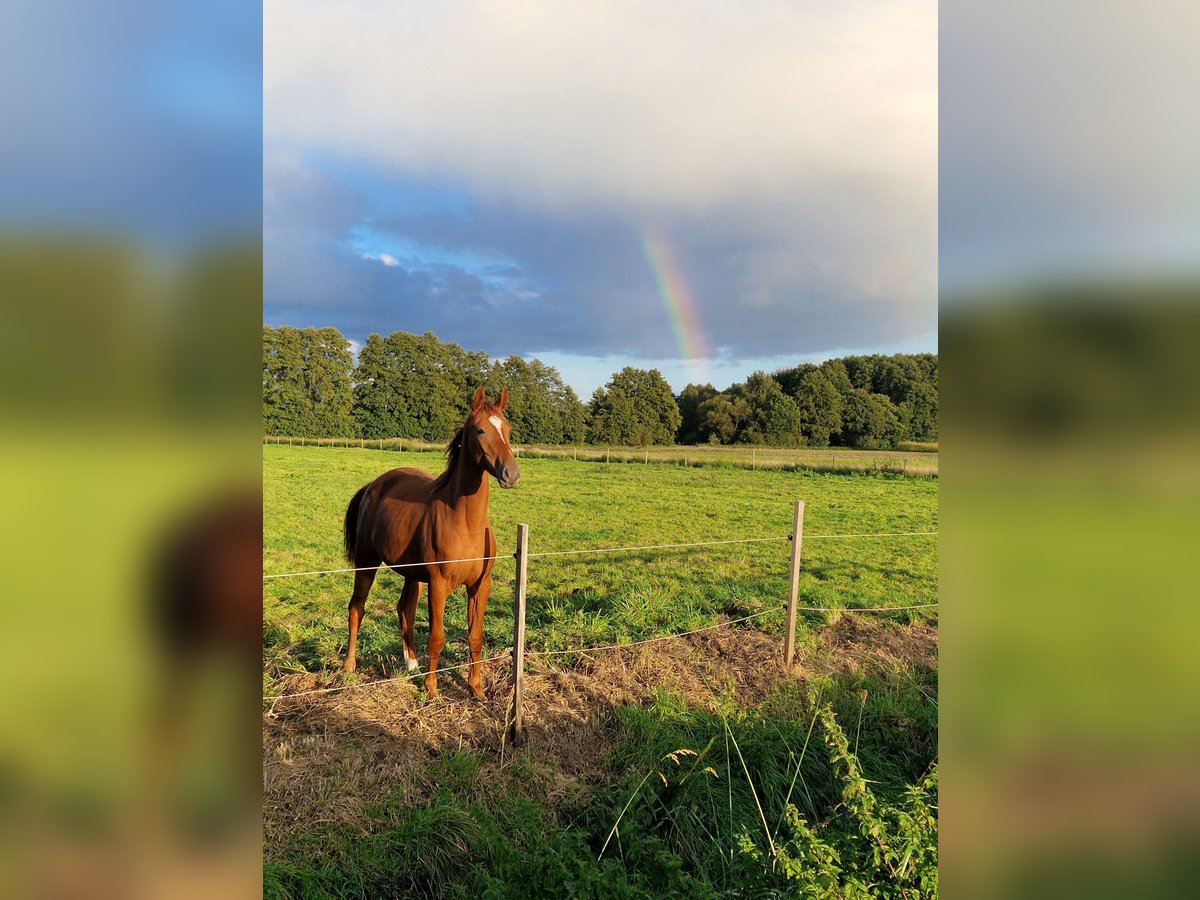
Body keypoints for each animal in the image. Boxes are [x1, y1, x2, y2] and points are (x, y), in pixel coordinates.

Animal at [340, 384, 523, 700]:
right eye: (480, 431)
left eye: (507, 429)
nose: (510, 473)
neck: (465, 523)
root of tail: (372, 486)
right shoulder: (438, 585)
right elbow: (437, 636)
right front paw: (432, 689)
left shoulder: (480, 587)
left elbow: (475, 637)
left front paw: (476, 689)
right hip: (366, 564)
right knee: (356, 609)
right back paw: (350, 666)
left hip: (412, 573)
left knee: (405, 610)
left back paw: (411, 664)